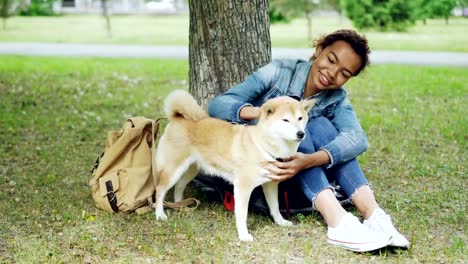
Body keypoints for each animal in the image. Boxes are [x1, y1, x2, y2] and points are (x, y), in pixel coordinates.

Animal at [154, 89, 314, 241]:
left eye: (300, 118)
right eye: (285, 120)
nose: (301, 133)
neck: (263, 146)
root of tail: (177, 117)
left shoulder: (271, 184)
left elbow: (275, 206)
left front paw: (280, 222)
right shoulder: (242, 187)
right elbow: (242, 214)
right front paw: (243, 235)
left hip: (191, 169)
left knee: (179, 186)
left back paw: (180, 206)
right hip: (173, 170)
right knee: (160, 190)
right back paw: (160, 214)